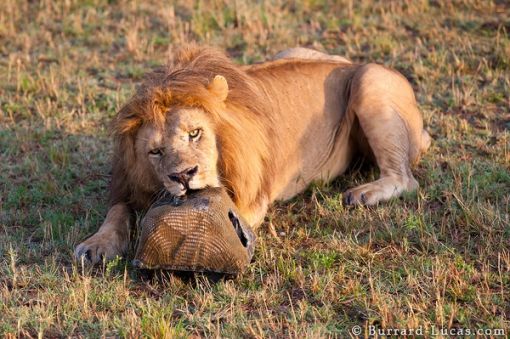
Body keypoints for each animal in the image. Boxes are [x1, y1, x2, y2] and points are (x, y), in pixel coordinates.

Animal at [74, 45, 430, 264]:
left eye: (195, 133)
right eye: (155, 152)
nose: (184, 176)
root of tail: (350, 63)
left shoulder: (253, 200)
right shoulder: (130, 184)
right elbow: (117, 212)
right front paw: (96, 245)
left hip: (370, 80)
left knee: (404, 178)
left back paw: (363, 194)